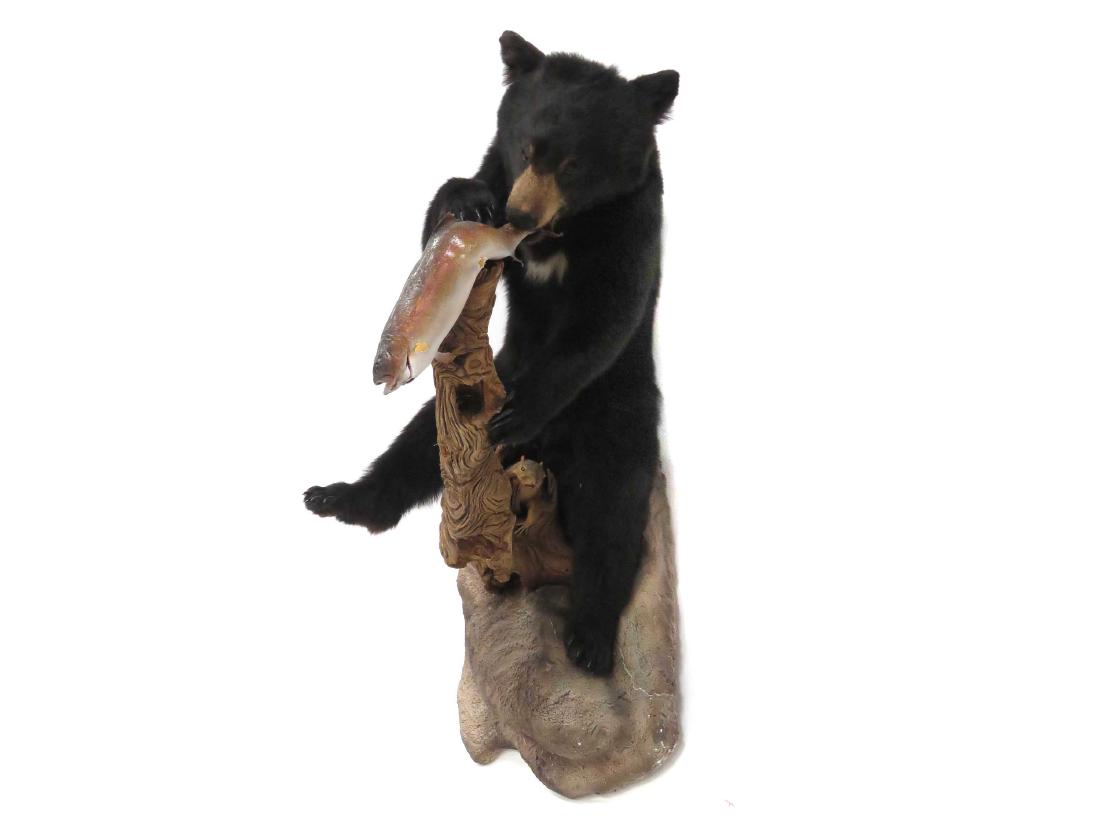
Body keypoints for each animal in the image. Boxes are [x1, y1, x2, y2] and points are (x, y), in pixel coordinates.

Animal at [304, 31, 678, 675]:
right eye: (526, 147)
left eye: (574, 163)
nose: (521, 214)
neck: (560, 233)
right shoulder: (497, 175)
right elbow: (442, 217)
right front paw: (469, 201)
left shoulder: (633, 223)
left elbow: (604, 318)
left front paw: (520, 409)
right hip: (465, 405)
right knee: (414, 449)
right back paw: (336, 498)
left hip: (620, 420)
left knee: (611, 518)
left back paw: (590, 640)